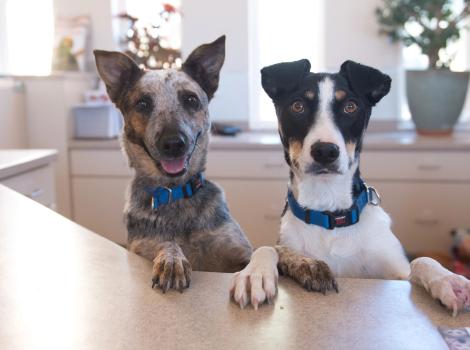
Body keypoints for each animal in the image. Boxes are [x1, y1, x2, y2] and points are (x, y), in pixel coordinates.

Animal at [93, 36, 252, 292]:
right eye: (143, 104)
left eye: (191, 99)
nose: (173, 143)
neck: (175, 192)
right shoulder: (141, 247)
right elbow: (166, 243)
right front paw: (172, 259)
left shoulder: (238, 252)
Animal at [230, 58, 470, 314]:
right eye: (298, 106)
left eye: (350, 107)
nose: (325, 151)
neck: (330, 214)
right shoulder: (286, 244)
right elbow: (268, 248)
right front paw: (254, 274)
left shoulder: (395, 271)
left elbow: (420, 261)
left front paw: (448, 280)